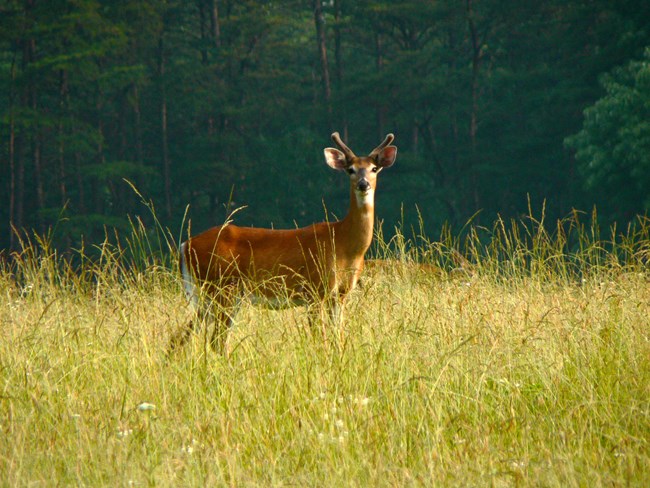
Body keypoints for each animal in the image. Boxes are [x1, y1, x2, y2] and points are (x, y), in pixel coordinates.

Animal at [171, 132, 394, 354]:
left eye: (374, 168)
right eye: (350, 170)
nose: (363, 184)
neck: (344, 243)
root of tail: (185, 246)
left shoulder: (340, 293)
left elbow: (338, 338)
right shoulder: (314, 289)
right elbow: (320, 339)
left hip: (212, 294)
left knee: (183, 335)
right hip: (223, 288)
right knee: (216, 340)